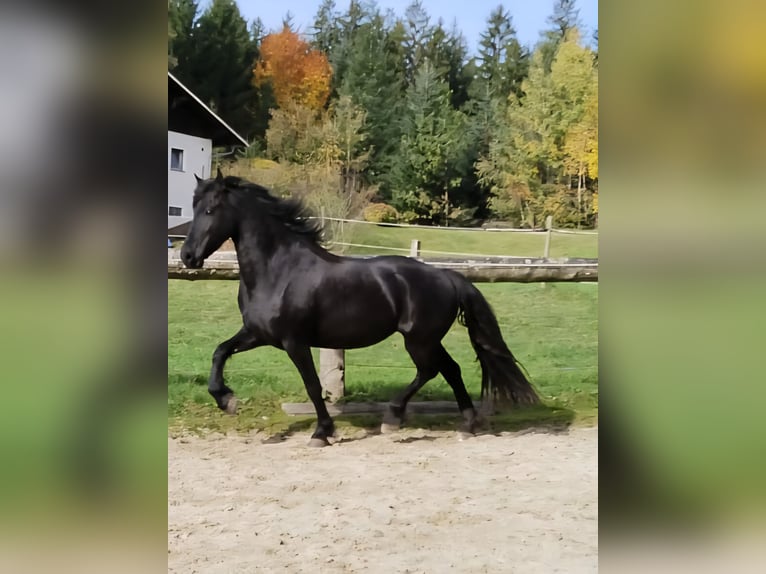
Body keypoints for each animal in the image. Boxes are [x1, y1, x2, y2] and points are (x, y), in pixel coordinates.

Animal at [180, 169, 539, 446]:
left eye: (211, 209)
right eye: (194, 208)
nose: (187, 256)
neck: (280, 270)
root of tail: (449, 277)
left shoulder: (295, 342)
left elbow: (313, 386)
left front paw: (322, 433)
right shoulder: (258, 333)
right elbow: (220, 352)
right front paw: (226, 399)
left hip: (419, 339)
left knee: (431, 370)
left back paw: (394, 418)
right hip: (427, 339)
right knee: (450, 369)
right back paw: (466, 424)